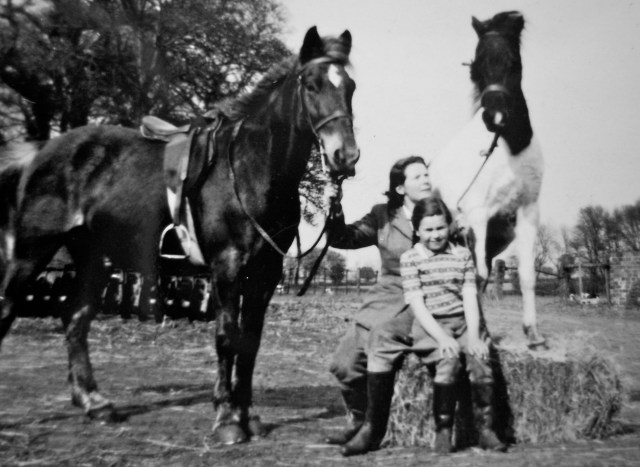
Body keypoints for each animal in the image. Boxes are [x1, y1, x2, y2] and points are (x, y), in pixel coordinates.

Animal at [0, 26, 359, 444]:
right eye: (311, 84)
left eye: (350, 86)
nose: (346, 156)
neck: (249, 169)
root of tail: (43, 151)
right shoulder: (227, 267)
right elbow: (226, 337)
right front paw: (226, 419)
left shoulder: (265, 273)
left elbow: (250, 342)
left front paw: (248, 415)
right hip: (32, 251)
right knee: (10, 308)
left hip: (94, 258)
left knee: (75, 317)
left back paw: (94, 402)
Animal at [428, 11, 546, 349]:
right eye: (476, 67)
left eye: (513, 63)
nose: (494, 117)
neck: (508, 146)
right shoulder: (477, 214)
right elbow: (477, 275)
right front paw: (479, 336)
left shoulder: (528, 211)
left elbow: (526, 276)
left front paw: (533, 335)